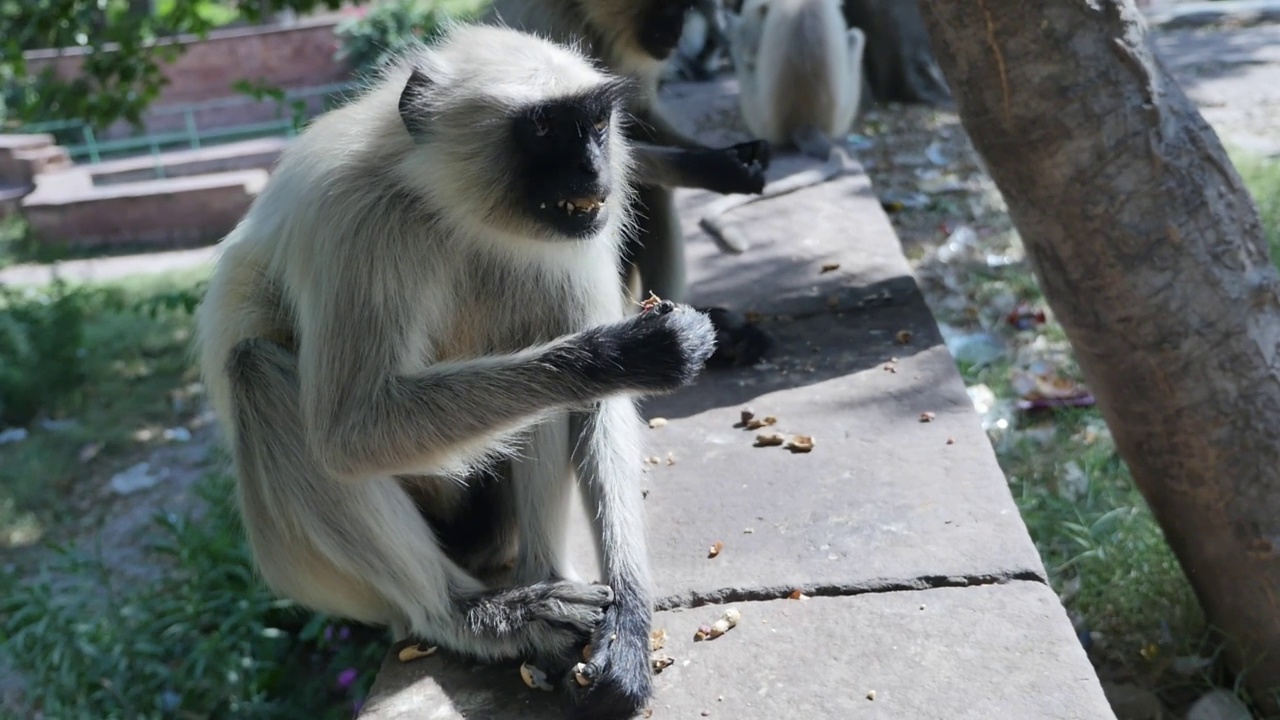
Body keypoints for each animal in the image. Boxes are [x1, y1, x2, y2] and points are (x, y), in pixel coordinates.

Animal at [197, 23, 721, 717]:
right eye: (545, 130)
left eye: (595, 124)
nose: (593, 168)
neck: (454, 209)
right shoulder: (357, 220)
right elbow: (350, 433)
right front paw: (629, 354)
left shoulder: (588, 225)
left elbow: (596, 405)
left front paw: (629, 627)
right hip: (322, 572)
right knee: (257, 372)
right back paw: (473, 616)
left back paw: (545, 592)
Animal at [483, 0, 773, 368]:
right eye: (669, 9)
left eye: (684, 9)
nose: (676, 32)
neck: (586, 18)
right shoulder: (546, 30)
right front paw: (714, 167)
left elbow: (636, 116)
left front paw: (744, 153)